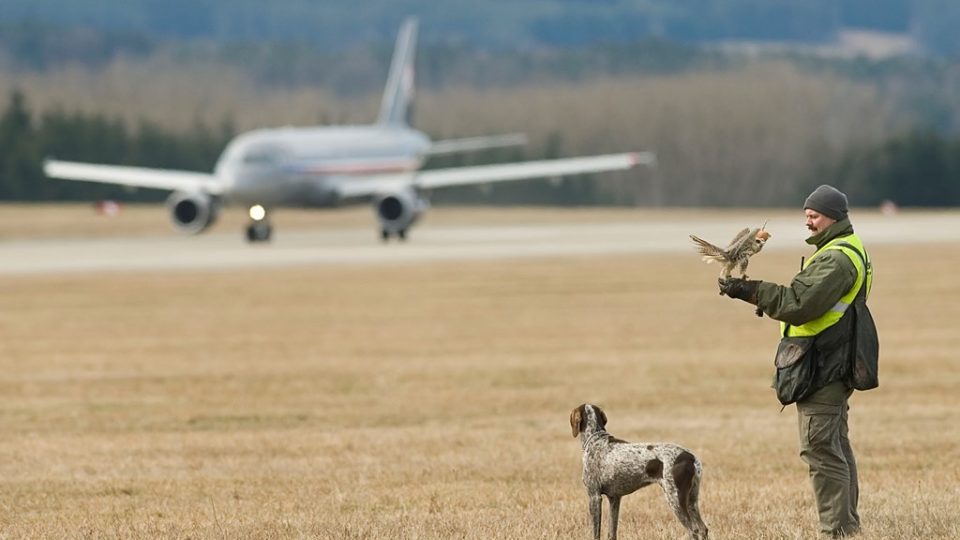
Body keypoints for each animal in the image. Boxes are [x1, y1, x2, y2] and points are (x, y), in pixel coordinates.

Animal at [568, 402, 704, 540]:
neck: (595, 439)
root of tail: (692, 457)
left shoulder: (594, 496)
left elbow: (596, 532)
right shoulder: (614, 498)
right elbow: (612, 531)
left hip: (675, 498)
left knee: (693, 530)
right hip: (691, 501)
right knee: (703, 529)